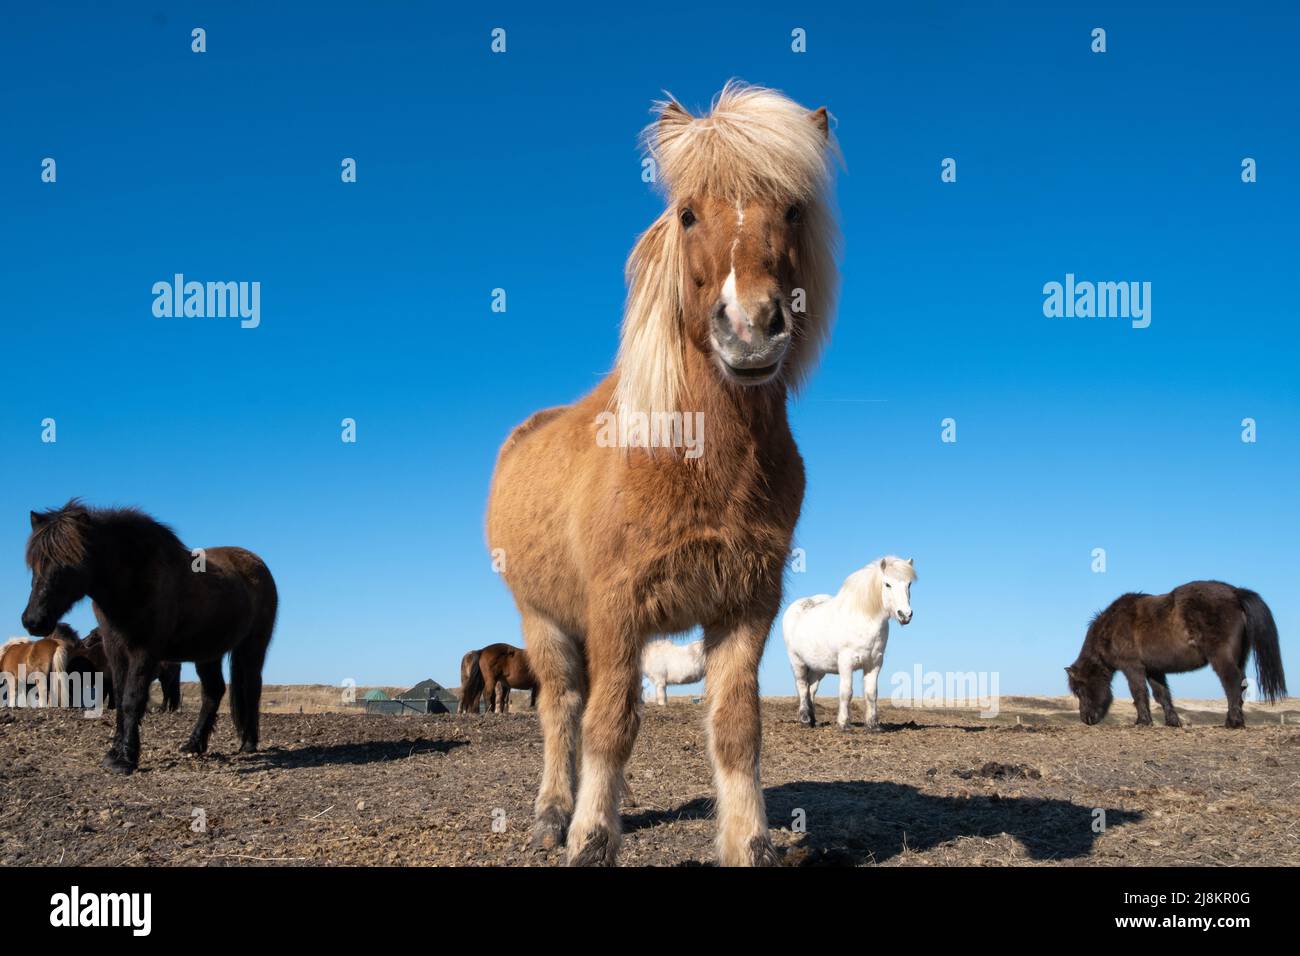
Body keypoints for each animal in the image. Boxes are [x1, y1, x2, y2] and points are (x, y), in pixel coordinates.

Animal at [21, 500, 278, 773]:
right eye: (34, 564)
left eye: (70, 563)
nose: (33, 621)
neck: (133, 580)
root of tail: (258, 565)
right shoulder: (116, 652)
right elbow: (120, 698)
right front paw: (114, 754)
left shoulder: (144, 653)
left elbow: (132, 699)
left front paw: (125, 759)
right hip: (208, 652)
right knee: (213, 692)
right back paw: (194, 744)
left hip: (253, 647)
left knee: (251, 687)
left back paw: (248, 743)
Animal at [486, 83, 840, 866]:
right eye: (687, 214)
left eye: (792, 210)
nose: (750, 328)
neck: (694, 457)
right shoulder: (617, 609)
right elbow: (610, 725)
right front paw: (590, 837)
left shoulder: (744, 608)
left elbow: (736, 729)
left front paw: (749, 843)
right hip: (545, 620)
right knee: (563, 710)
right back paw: (553, 813)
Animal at [783, 557, 916, 731]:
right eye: (887, 584)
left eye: (909, 584)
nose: (905, 615)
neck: (863, 619)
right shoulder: (846, 662)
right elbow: (846, 692)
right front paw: (844, 724)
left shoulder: (874, 663)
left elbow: (871, 693)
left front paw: (873, 725)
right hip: (797, 661)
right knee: (802, 687)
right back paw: (805, 719)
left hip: (819, 667)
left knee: (811, 688)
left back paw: (813, 720)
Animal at [1067, 581, 1287, 728]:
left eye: (1080, 689)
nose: (1086, 719)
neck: (1111, 627)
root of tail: (1234, 592)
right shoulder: (1153, 669)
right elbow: (1162, 694)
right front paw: (1172, 721)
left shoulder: (1132, 667)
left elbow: (1139, 692)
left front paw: (1142, 721)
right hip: (1239, 657)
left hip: (1222, 658)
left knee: (1232, 683)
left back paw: (1232, 721)